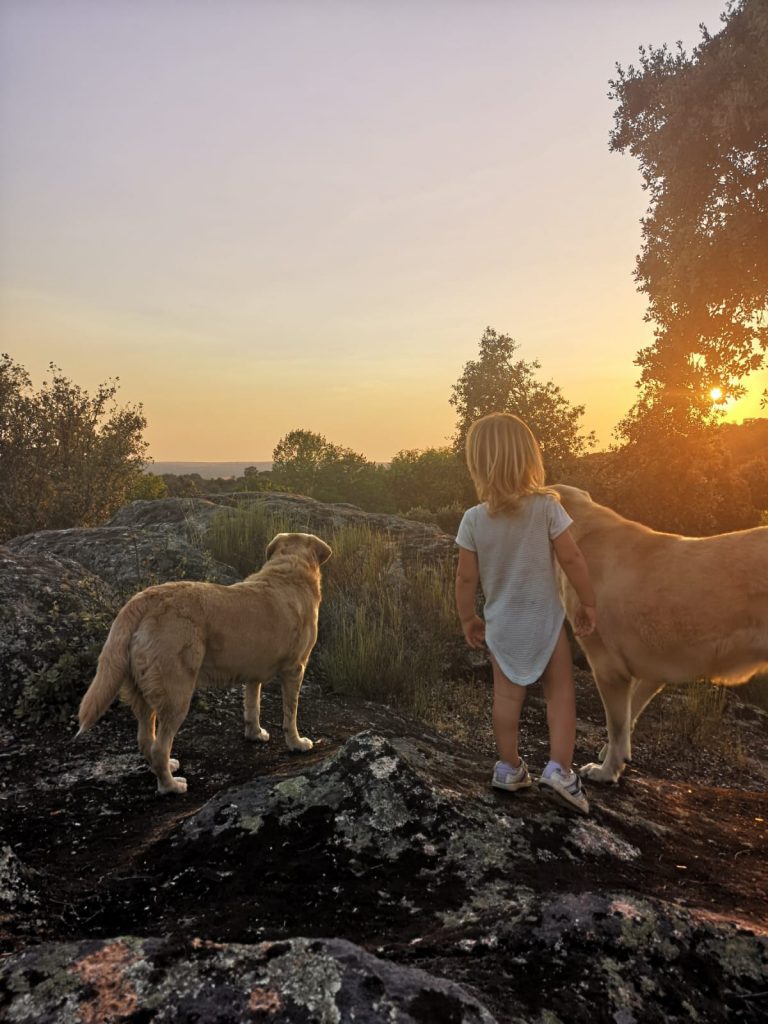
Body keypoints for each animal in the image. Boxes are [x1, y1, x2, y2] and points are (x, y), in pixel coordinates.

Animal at [77, 532, 332, 794]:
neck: (289, 569)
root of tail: (144, 599)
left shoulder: (253, 673)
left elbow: (253, 706)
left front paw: (255, 733)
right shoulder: (295, 669)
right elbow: (290, 713)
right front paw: (296, 743)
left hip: (141, 691)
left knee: (146, 740)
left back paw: (167, 767)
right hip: (176, 693)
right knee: (159, 747)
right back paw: (171, 785)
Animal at [553, 485, 768, 783]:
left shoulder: (607, 667)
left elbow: (617, 724)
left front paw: (607, 771)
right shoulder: (653, 672)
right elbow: (630, 715)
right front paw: (616, 754)